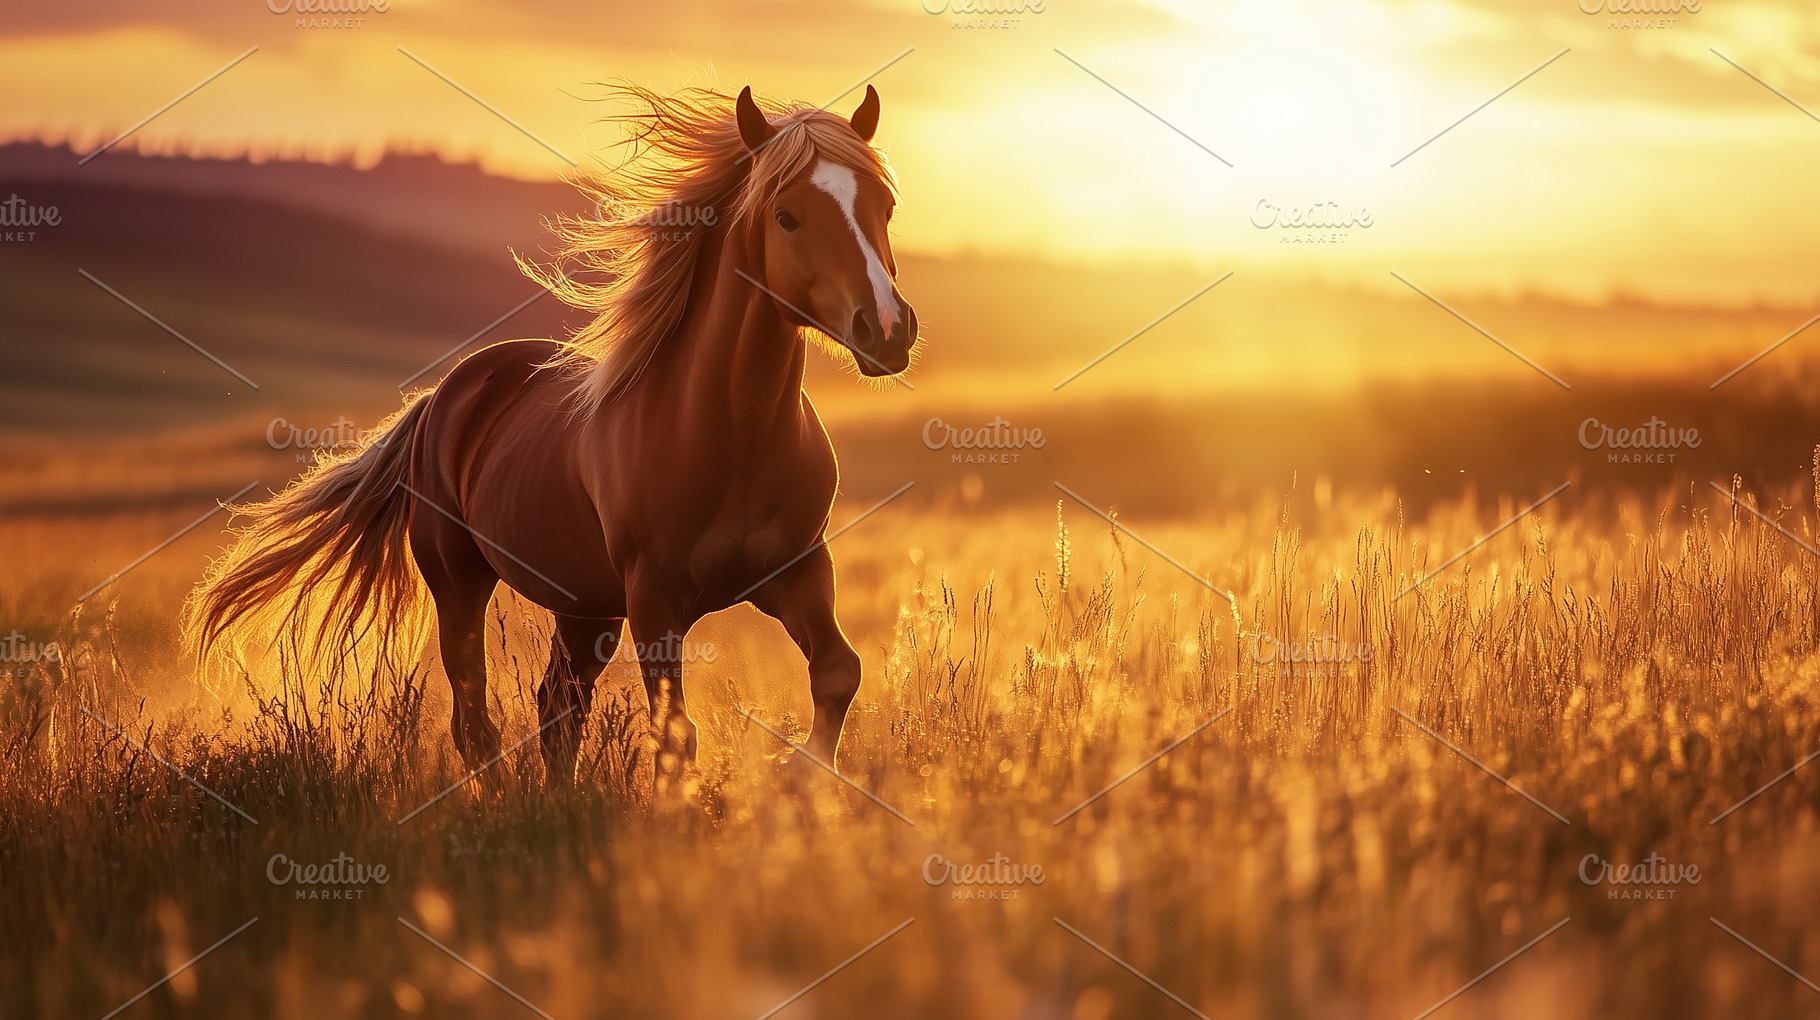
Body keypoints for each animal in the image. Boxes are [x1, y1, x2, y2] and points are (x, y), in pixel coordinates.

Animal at [187, 83, 919, 789]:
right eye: (786, 215)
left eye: (885, 207)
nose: (886, 328)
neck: (730, 438)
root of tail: (441, 398)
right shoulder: (655, 601)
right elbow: (676, 734)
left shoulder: (797, 571)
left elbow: (837, 673)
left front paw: (803, 780)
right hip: (462, 584)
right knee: (476, 722)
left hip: (584, 606)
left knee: (556, 707)